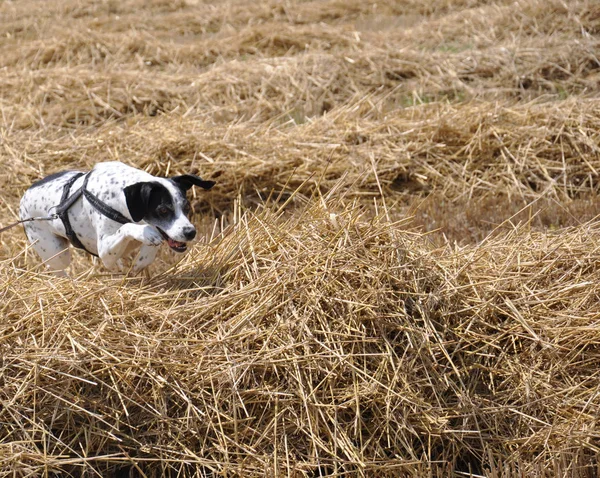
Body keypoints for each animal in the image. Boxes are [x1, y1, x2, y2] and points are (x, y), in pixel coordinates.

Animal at [19, 161, 216, 274]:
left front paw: (143, 257)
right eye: (163, 211)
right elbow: (128, 227)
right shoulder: (104, 252)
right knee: (56, 268)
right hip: (56, 253)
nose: (190, 232)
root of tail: (25, 195)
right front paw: (146, 234)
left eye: (187, 207)